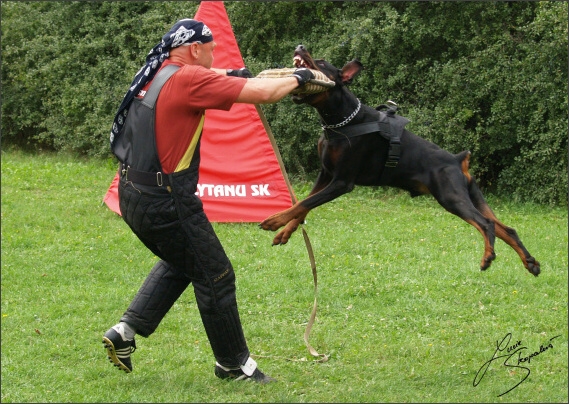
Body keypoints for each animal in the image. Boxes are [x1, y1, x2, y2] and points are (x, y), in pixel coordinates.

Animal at [260, 45, 540, 278]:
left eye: (321, 62)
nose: (300, 46)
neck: (340, 120)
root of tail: (458, 160)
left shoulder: (342, 181)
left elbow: (304, 203)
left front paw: (274, 221)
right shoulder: (326, 173)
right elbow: (303, 206)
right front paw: (283, 232)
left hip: (451, 196)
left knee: (485, 224)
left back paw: (488, 256)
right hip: (471, 194)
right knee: (505, 228)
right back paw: (531, 263)